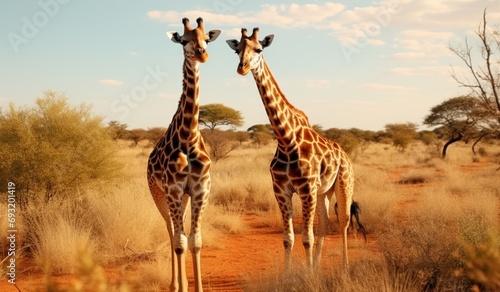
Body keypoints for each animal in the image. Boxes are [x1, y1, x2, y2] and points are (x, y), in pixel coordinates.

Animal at [146, 18, 221, 292]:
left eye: (207, 39)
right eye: (184, 40)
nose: (203, 54)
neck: (188, 135)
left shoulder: (200, 189)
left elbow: (195, 241)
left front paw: (196, 287)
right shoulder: (174, 189)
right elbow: (179, 242)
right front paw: (181, 287)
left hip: (183, 198)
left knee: (180, 234)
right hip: (159, 193)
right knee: (170, 232)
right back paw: (174, 284)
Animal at [226, 28, 364, 272]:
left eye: (259, 49)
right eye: (237, 50)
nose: (242, 67)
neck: (286, 139)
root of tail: (345, 154)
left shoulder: (306, 189)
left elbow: (306, 238)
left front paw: (308, 276)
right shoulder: (281, 189)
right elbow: (288, 238)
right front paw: (291, 275)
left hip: (344, 183)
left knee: (344, 222)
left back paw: (345, 267)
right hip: (323, 191)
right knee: (325, 222)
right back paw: (317, 266)